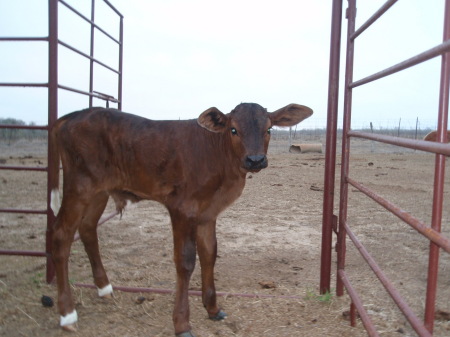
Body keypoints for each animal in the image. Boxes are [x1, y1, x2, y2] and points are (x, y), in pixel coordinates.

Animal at [47, 101, 312, 334]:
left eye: (268, 129)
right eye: (233, 129)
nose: (255, 160)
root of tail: (71, 116)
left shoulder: (208, 213)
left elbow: (209, 254)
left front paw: (213, 308)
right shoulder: (181, 209)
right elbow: (185, 262)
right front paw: (182, 324)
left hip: (99, 191)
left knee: (87, 228)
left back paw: (104, 288)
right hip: (79, 185)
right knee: (60, 234)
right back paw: (67, 314)